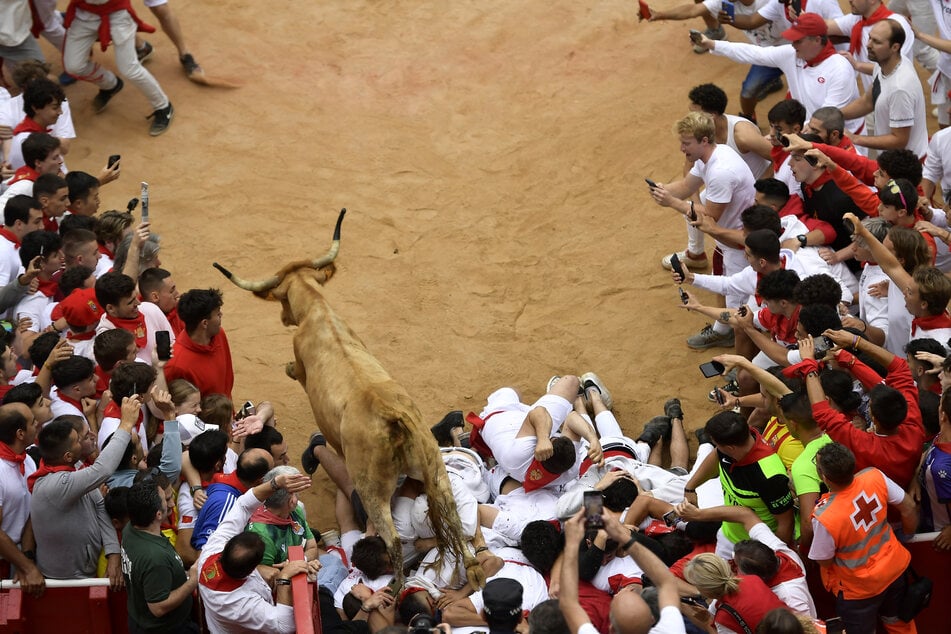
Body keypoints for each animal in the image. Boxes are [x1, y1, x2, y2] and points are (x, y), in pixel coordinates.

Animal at [215, 209, 484, 588]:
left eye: (282, 299)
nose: (284, 317)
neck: (317, 310)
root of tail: (391, 417)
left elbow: (293, 371)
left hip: (371, 490)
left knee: (392, 542)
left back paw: (394, 588)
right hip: (435, 471)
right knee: (455, 520)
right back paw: (472, 570)